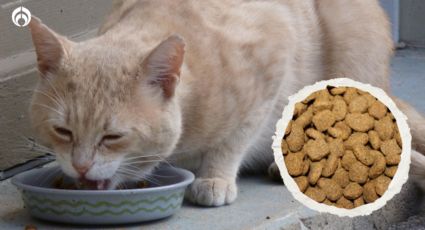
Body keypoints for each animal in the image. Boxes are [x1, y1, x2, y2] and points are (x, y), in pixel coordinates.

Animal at [27, 0, 424, 207]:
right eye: (62, 131)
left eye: (113, 137)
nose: (80, 167)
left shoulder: (273, 60)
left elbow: (233, 140)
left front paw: (214, 177)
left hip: (350, 44)